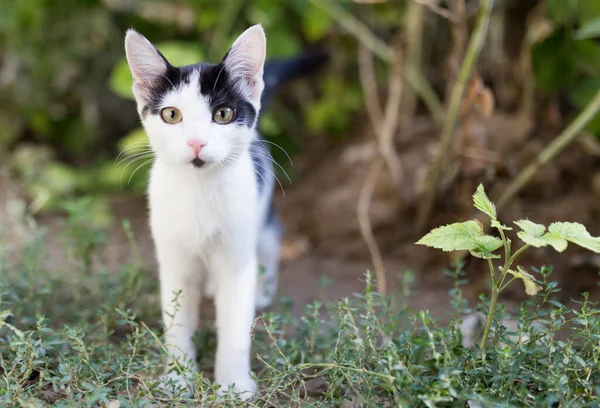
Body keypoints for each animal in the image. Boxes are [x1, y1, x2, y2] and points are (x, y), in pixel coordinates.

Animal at [123, 23, 326, 400]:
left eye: (223, 114)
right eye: (171, 115)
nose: (196, 142)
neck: (200, 191)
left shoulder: (237, 256)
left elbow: (234, 326)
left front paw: (234, 384)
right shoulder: (173, 258)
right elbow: (177, 320)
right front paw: (178, 378)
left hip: (260, 211)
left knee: (271, 239)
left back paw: (262, 291)